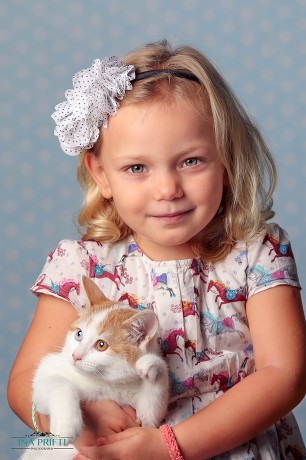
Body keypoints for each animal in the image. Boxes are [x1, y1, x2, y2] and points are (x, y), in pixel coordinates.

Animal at [20, 274, 170, 458]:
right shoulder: (47, 371)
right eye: (79, 334)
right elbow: (58, 384)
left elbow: (151, 414)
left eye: (101, 345)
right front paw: (66, 425)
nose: (76, 355)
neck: (102, 382)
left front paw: (151, 363)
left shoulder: (146, 418)